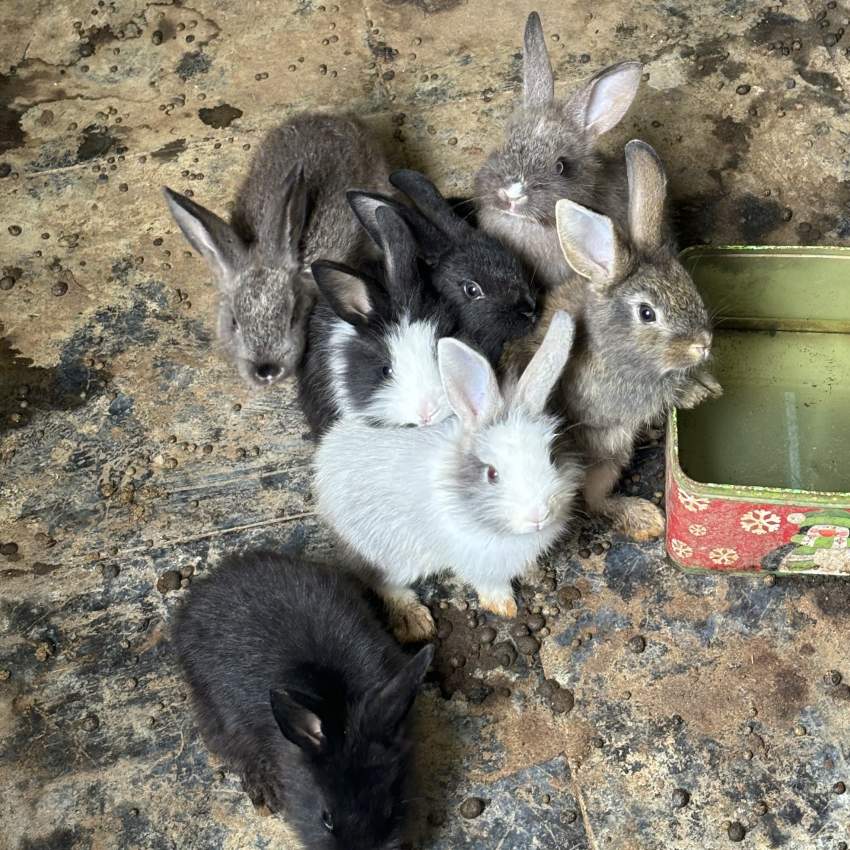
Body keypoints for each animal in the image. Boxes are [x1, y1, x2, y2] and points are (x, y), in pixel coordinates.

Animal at [314, 310, 580, 636]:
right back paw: (413, 617)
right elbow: (490, 585)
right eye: (492, 474)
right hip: (389, 554)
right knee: (379, 581)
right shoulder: (477, 564)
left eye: (551, 457)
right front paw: (505, 607)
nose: (538, 515)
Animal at [506, 139, 720, 536]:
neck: (612, 343)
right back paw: (644, 517)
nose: (702, 344)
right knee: (593, 501)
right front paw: (695, 393)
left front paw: (708, 383)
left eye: (689, 286)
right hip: (609, 452)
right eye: (647, 313)